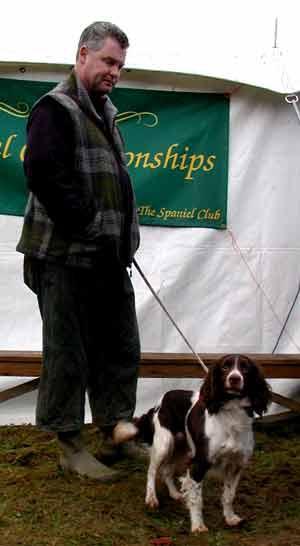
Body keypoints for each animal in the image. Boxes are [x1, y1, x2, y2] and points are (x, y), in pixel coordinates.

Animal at [113, 352, 270, 532]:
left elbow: (229, 495)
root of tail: (162, 399)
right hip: (164, 444)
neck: (232, 414)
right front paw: (198, 526)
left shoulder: (236, 465)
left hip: (181, 448)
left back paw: (174, 494)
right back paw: (151, 498)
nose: (234, 378)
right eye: (225, 367)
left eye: (245, 368)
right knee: (152, 471)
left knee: (167, 471)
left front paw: (230, 518)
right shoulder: (199, 463)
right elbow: (196, 499)